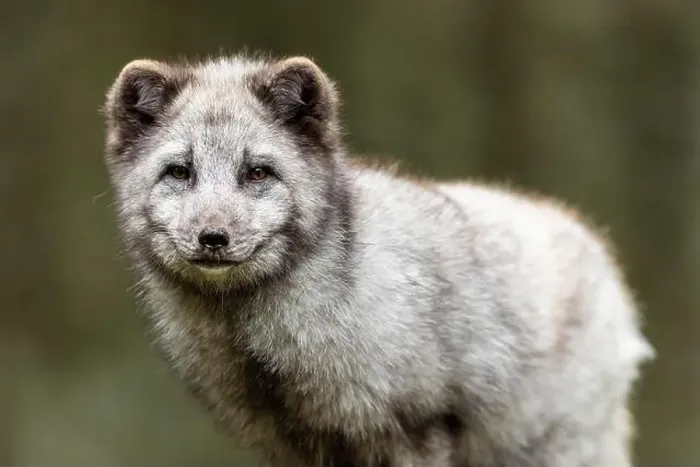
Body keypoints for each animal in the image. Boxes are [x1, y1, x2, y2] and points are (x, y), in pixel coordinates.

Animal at [102, 52, 654, 467]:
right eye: (179, 171)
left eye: (257, 172)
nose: (212, 237)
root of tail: (591, 242)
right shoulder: (289, 446)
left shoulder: (412, 430)